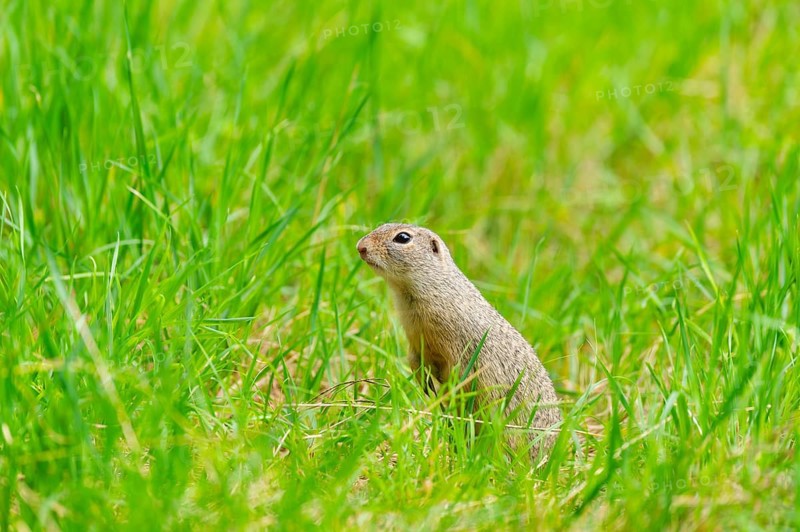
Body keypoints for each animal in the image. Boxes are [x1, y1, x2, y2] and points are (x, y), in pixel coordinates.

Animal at [357, 223, 562, 458]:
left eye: (403, 238)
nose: (360, 247)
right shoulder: (414, 339)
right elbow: (414, 359)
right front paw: (424, 383)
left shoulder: (457, 344)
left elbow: (458, 369)